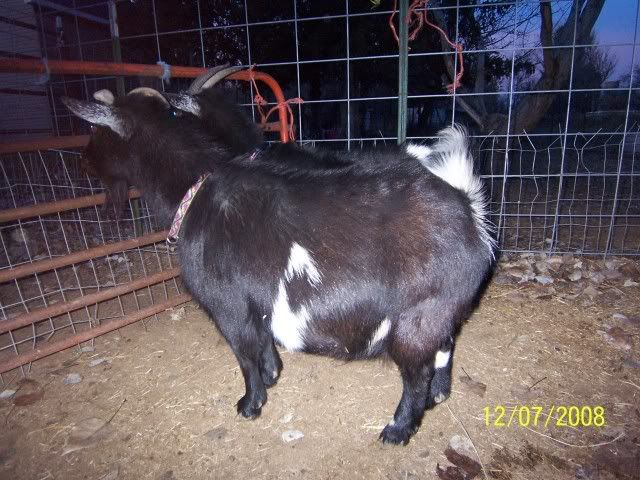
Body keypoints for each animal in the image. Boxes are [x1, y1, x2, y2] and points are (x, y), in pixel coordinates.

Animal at [63, 90, 495, 445]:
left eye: (96, 130)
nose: (82, 164)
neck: (197, 187)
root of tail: (468, 207)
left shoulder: (229, 305)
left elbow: (244, 353)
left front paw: (250, 404)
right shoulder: (259, 301)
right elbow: (263, 343)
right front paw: (273, 377)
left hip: (418, 317)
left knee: (416, 372)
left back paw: (397, 430)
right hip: (441, 313)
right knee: (446, 344)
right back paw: (439, 394)